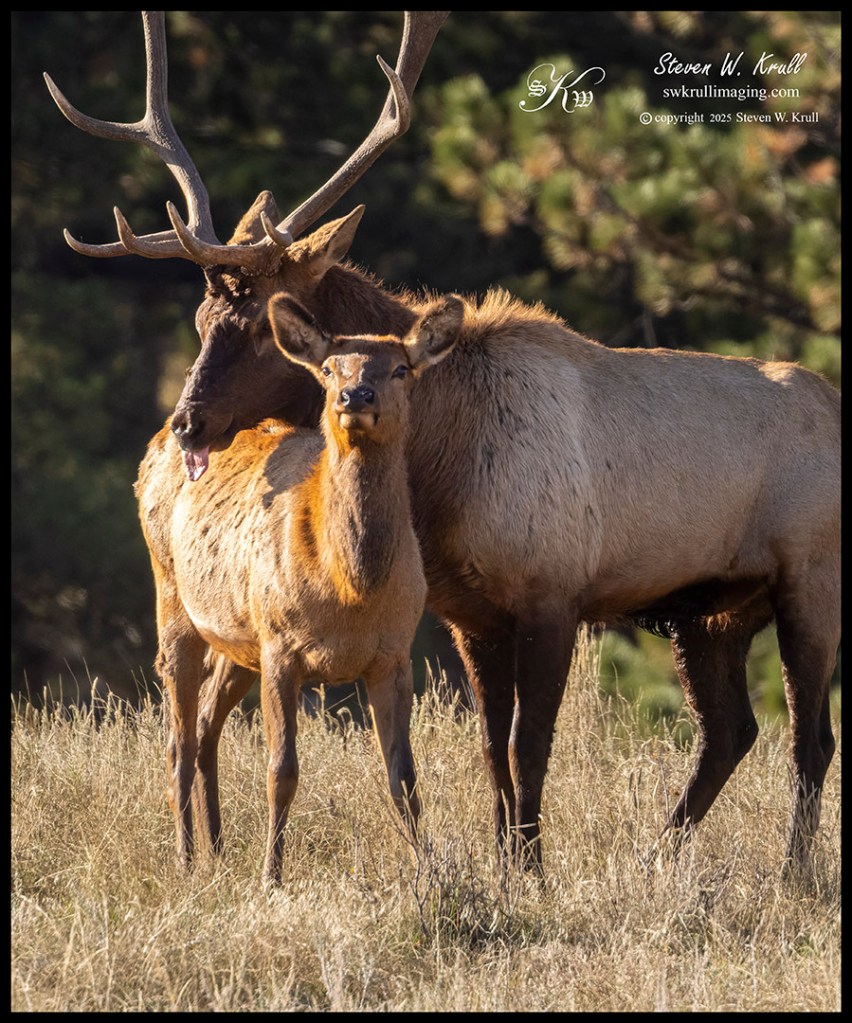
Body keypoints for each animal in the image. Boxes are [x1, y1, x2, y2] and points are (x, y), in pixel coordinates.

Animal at [136, 292, 463, 881]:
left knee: (205, 725)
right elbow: (281, 769)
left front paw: (428, 873)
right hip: (172, 596)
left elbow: (405, 778)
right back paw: (186, 859)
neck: (350, 588)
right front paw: (272, 876)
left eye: (401, 368)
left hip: (239, 643)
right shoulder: (282, 646)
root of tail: (158, 442)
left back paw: (218, 851)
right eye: (330, 369)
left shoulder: (394, 654)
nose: (356, 395)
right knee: (178, 739)